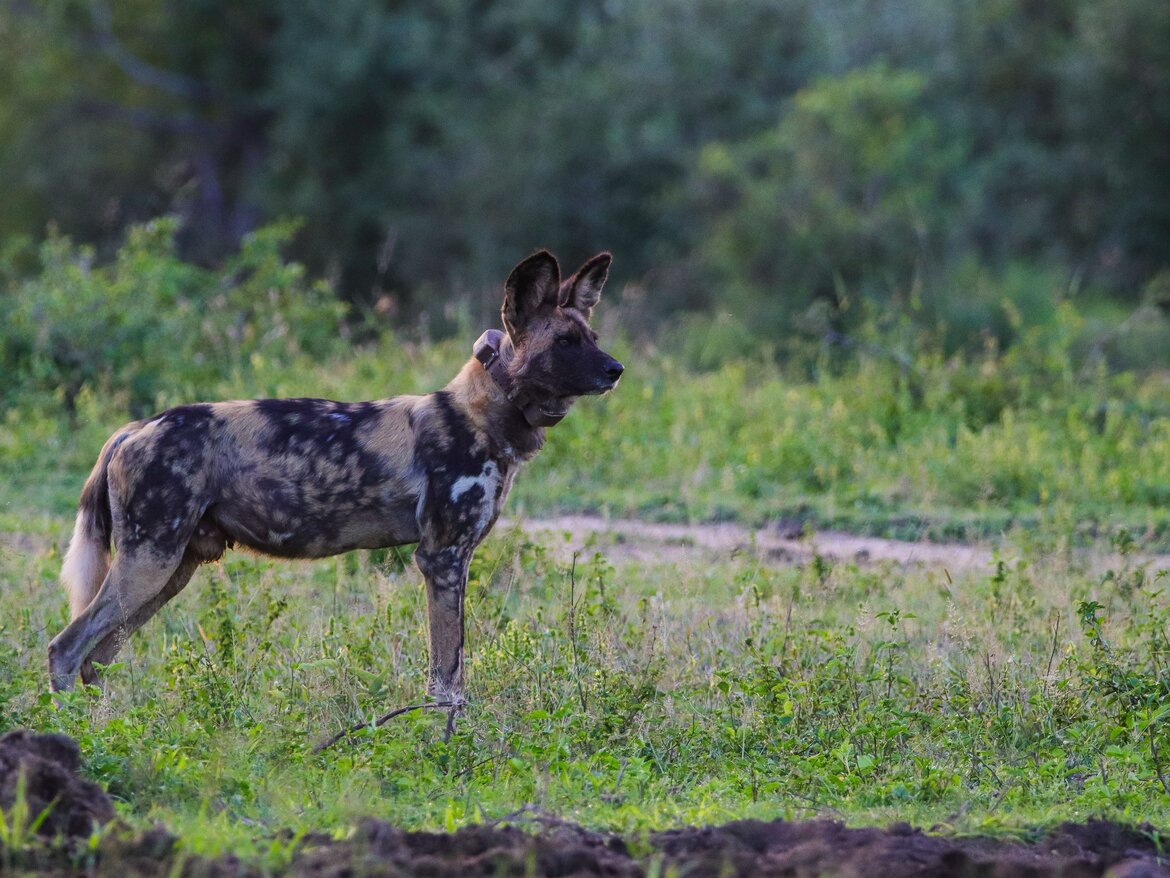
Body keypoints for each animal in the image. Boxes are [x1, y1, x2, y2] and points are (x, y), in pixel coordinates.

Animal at [47, 250, 622, 707]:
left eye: (592, 337)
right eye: (566, 342)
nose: (616, 369)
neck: (483, 413)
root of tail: (134, 428)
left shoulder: (450, 559)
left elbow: (451, 672)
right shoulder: (442, 559)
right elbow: (447, 678)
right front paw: (445, 742)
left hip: (170, 569)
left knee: (97, 658)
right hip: (149, 562)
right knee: (65, 649)